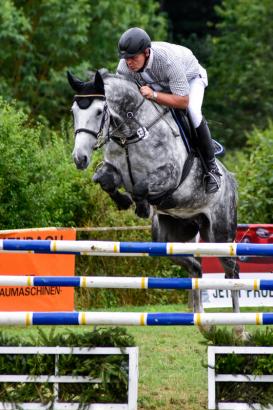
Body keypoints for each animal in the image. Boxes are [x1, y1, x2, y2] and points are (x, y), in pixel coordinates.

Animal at [67, 69, 240, 324]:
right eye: (74, 112)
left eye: (99, 111)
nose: (80, 158)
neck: (130, 134)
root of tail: (230, 179)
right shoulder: (112, 169)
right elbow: (103, 179)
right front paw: (123, 201)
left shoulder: (169, 176)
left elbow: (140, 187)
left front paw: (141, 206)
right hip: (168, 238)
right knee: (196, 267)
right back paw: (201, 320)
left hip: (219, 234)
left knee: (232, 272)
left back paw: (239, 326)